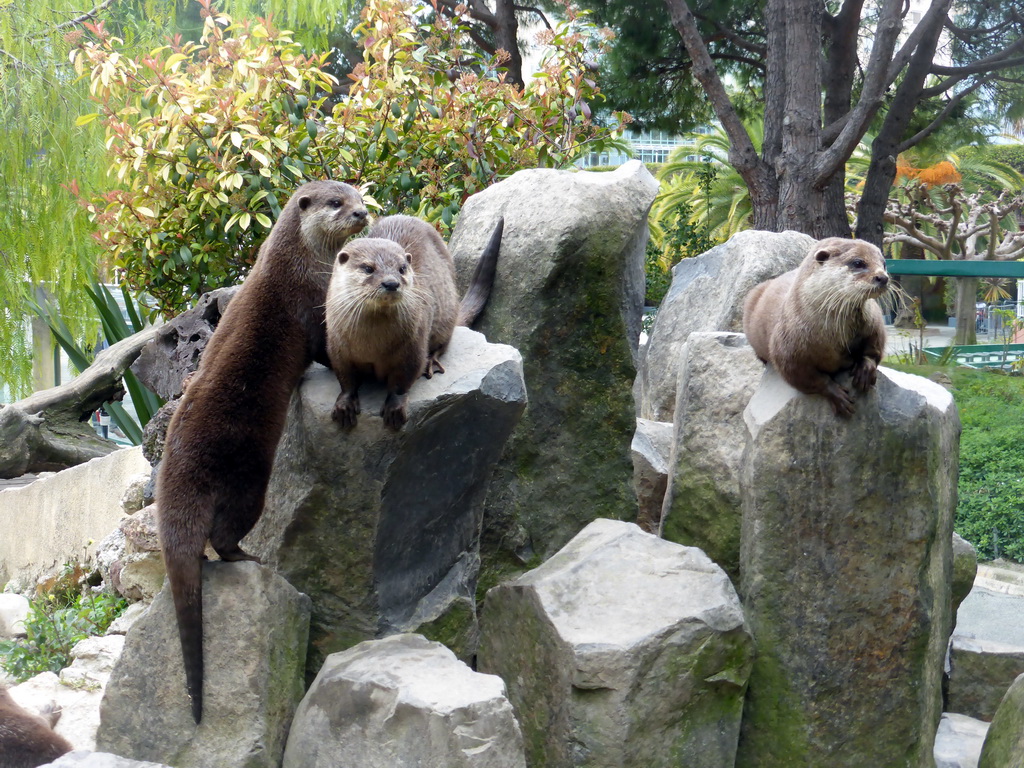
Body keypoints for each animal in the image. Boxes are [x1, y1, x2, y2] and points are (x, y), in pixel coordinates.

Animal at [155, 179, 368, 720]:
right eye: (336, 203)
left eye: (359, 196)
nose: (361, 214)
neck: (296, 265)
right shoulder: (310, 305)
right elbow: (325, 350)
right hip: (248, 482)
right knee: (223, 537)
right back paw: (251, 560)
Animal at [327, 215, 503, 434]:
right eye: (368, 268)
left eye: (402, 268)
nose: (391, 283)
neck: (372, 345)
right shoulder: (336, 345)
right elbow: (345, 376)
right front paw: (345, 405)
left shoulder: (413, 344)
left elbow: (404, 377)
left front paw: (395, 407)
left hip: (447, 312)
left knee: (443, 342)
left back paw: (432, 362)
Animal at [745, 237, 888, 417]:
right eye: (857, 262)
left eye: (884, 263)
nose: (883, 277)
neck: (835, 334)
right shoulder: (788, 352)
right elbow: (806, 378)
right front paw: (837, 395)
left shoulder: (874, 322)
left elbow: (874, 348)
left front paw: (865, 370)